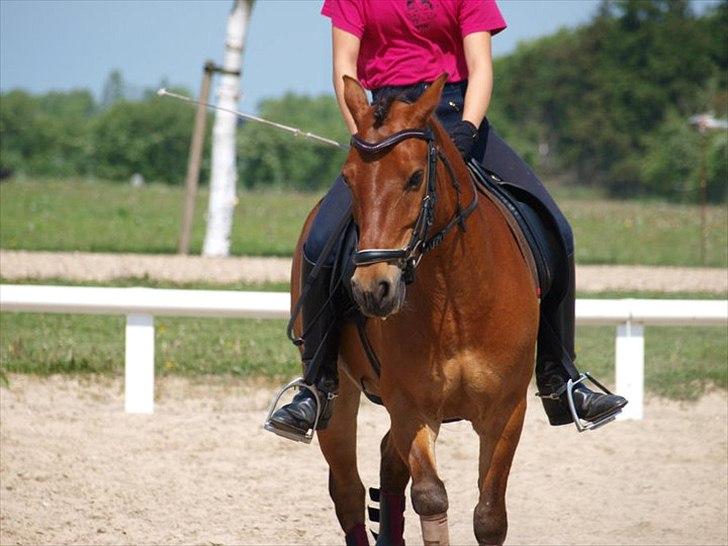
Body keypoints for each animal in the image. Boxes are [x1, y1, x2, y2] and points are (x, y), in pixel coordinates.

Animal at [288, 73, 536, 544]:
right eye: (348, 179)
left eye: (415, 177)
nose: (372, 288)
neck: (456, 298)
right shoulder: (410, 407)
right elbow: (431, 496)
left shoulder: (507, 410)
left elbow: (490, 516)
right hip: (338, 397)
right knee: (348, 490)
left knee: (387, 461)